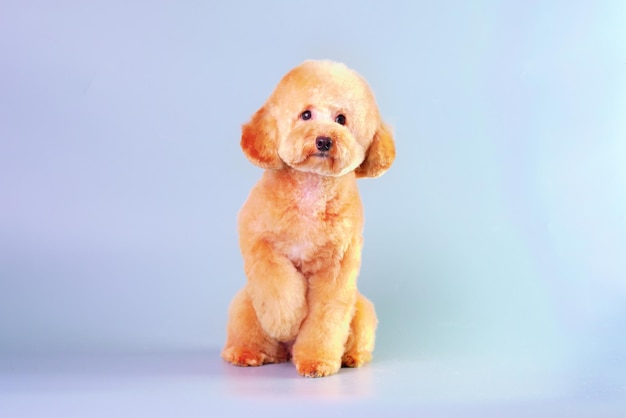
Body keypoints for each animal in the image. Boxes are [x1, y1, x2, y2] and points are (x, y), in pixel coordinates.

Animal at [222, 59, 392, 378]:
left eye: (341, 119)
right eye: (305, 115)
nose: (323, 140)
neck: (311, 189)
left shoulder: (336, 269)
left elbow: (325, 318)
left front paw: (318, 360)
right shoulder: (257, 240)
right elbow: (277, 283)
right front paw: (287, 320)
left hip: (361, 309)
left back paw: (351, 356)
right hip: (246, 304)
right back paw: (247, 353)